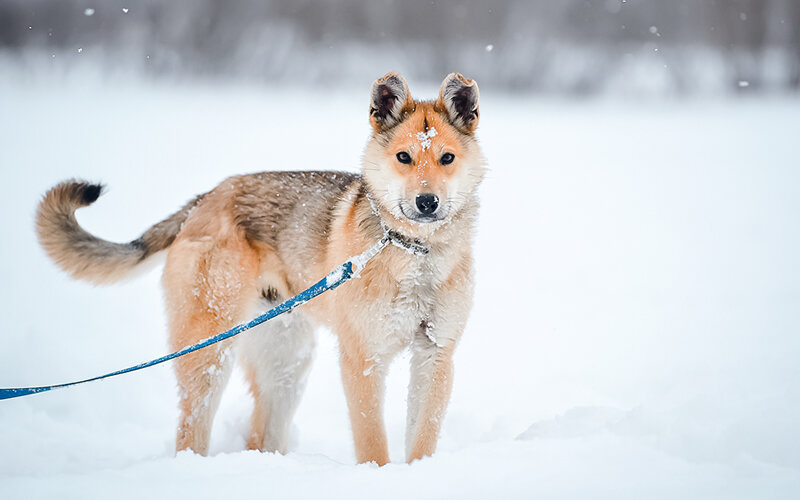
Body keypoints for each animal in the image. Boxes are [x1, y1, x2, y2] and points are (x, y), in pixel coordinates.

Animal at [36, 71, 488, 464]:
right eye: (403, 157)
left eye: (447, 158)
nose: (427, 203)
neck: (415, 255)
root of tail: (203, 200)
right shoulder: (363, 358)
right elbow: (372, 442)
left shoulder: (435, 355)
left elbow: (423, 437)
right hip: (210, 352)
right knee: (190, 431)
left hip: (288, 361)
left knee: (260, 435)